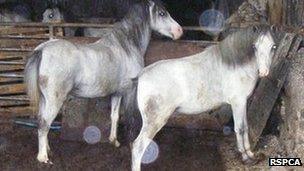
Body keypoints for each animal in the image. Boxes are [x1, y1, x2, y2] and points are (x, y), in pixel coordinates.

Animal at [132, 25, 276, 171]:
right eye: (254, 47)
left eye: (273, 47)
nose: (264, 72)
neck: (237, 65)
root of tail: (142, 75)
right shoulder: (238, 103)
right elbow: (240, 129)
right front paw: (246, 157)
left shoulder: (243, 103)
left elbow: (246, 127)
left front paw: (250, 154)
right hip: (155, 121)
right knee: (137, 147)